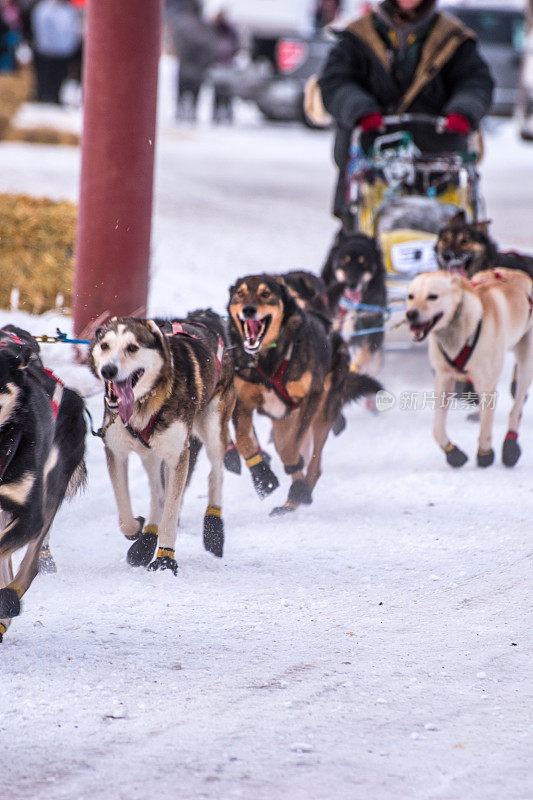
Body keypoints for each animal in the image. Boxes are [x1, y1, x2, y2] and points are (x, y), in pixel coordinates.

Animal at [90, 314, 235, 576]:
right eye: (105, 346)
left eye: (132, 347)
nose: (108, 370)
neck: (143, 403)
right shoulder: (116, 450)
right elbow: (124, 512)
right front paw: (136, 529)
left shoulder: (178, 455)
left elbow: (171, 512)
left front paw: (166, 560)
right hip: (151, 454)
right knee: (158, 493)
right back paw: (146, 541)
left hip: (213, 428)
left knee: (216, 473)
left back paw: (214, 528)